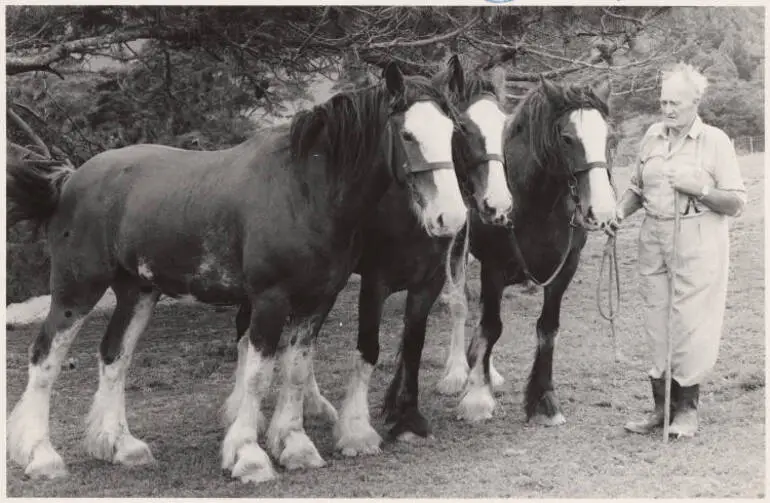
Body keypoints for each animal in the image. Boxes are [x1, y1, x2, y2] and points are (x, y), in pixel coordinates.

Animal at [7, 62, 468, 484]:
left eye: (452, 131)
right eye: (408, 135)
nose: (451, 217)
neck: (303, 189)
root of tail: (70, 180)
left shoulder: (317, 301)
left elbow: (296, 369)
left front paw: (296, 447)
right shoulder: (269, 299)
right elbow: (258, 376)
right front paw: (250, 456)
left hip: (138, 292)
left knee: (114, 356)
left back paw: (121, 446)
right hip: (77, 289)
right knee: (45, 358)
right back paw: (41, 456)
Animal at [230, 56, 516, 456]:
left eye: (503, 127)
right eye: (464, 129)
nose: (498, 205)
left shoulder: (429, 278)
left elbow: (415, 341)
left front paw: (406, 415)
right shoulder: (375, 282)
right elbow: (368, 346)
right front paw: (357, 429)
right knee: (251, 332)